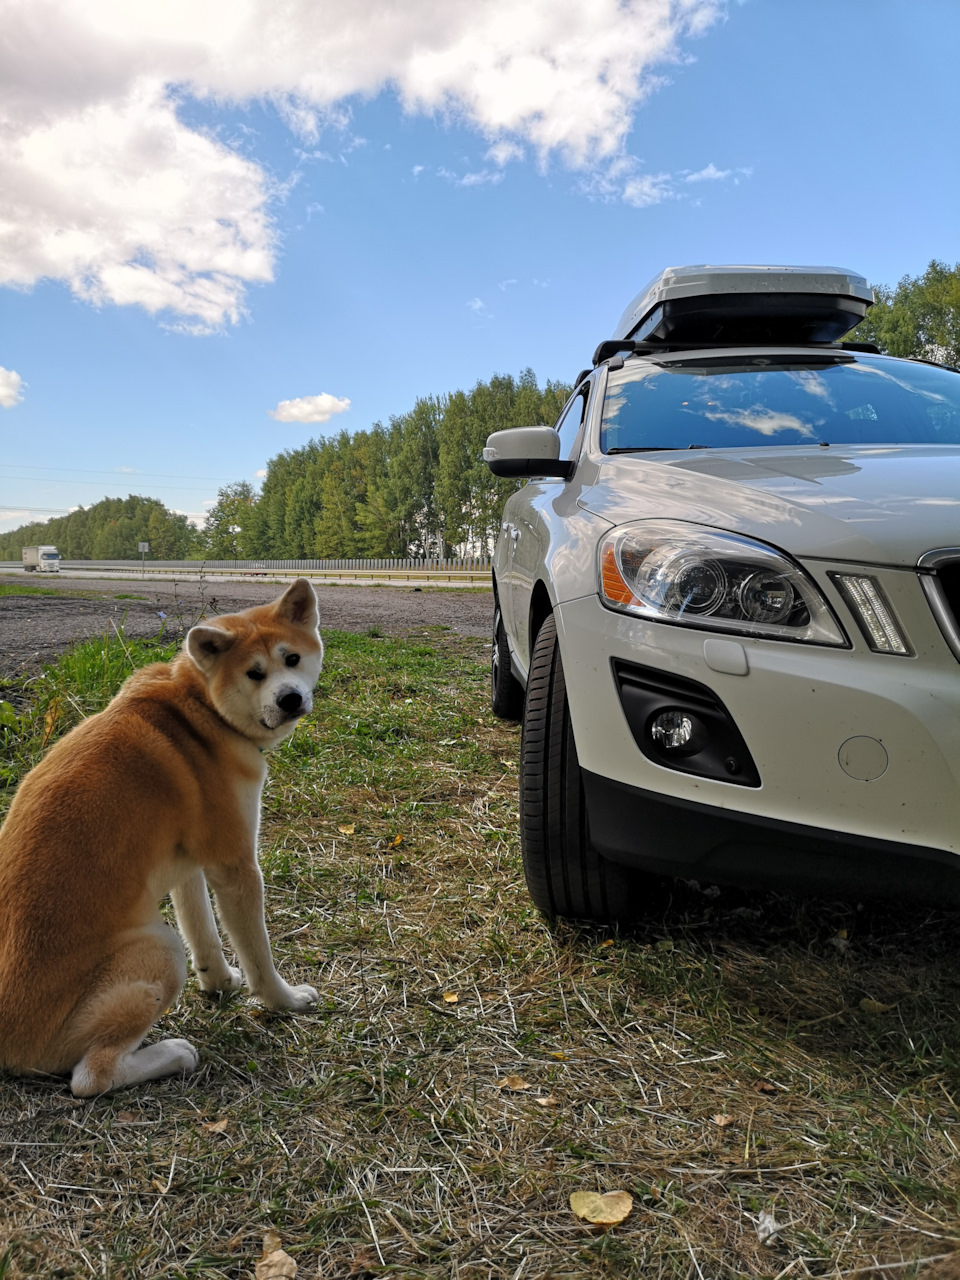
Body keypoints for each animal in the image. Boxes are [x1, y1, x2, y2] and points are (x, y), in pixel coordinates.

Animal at [0, 578, 323, 1090]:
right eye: (254, 674)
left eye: (291, 659)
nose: (289, 698)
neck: (200, 711)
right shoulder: (235, 866)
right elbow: (258, 954)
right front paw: (284, 1001)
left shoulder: (188, 864)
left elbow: (203, 932)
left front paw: (219, 982)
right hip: (159, 949)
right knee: (91, 1077)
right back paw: (174, 1054)